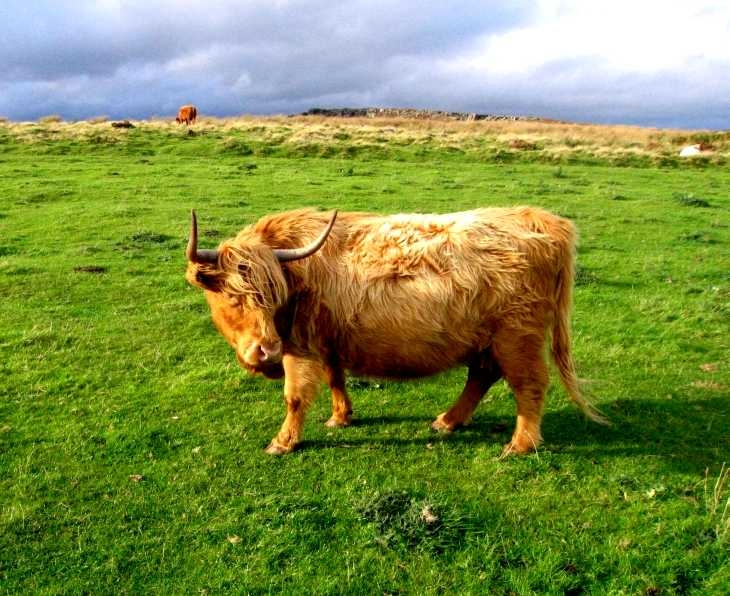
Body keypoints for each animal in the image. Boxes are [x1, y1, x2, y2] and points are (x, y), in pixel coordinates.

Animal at [185, 207, 606, 455]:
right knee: (482, 376)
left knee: (529, 385)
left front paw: (282, 442)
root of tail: (538, 218)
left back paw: (519, 445)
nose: (266, 350)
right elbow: (336, 377)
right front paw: (341, 417)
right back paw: (448, 421)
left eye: (270, 297)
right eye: (233, 297)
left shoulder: (299, 347)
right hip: (490, 339)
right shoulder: (327, 340)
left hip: (517, 337)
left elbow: (295, 396)